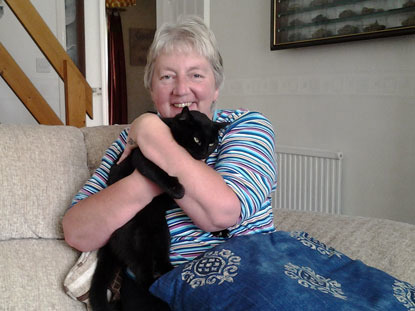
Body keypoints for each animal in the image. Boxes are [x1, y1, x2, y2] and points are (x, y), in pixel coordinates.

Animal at [89, 108, 229, 311]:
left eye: (211, 143)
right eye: (196, 139)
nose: (204, 153)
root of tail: (110, 241)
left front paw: (221, 229)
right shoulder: (141, 157)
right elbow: (157, 171)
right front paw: (177, 188)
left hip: (162, 235)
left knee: (161, 264)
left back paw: (173, 275)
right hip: (138, 244)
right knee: (143, 277)